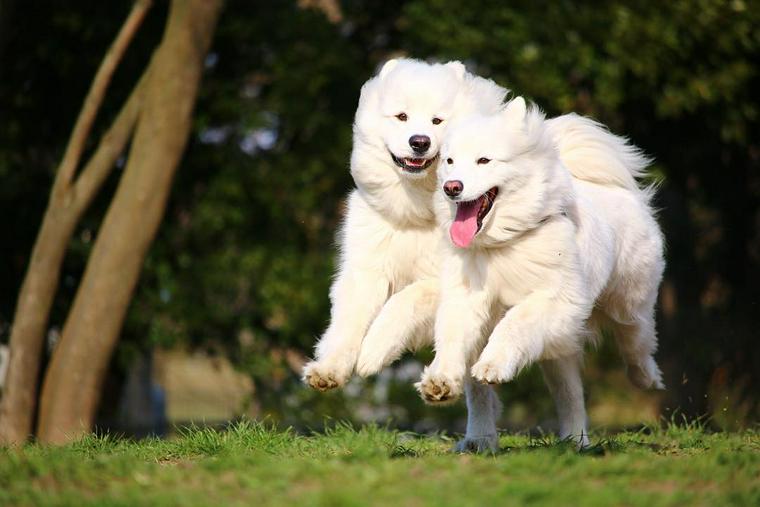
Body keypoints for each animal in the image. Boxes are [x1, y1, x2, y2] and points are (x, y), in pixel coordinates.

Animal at [300, 57, 508, 390]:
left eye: (437, 121)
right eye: (402, 117)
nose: (420, 142)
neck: (416, 212)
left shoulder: (445, 281)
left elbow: (404, 300)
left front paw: (372, 353)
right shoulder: (367, 270)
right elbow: (347, 324)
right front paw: (328, 369)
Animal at [416, 98, 664, 452]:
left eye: (483, 160)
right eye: (449, 161)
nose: (452, 188)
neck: (502, 242)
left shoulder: (555, 298)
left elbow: (513, 324)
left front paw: (493, 364)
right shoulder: (465, 299)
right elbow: (452, 342)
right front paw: (439, 381)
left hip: (628, 305)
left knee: (638, 340)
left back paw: (647, 377)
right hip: (559, 351)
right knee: (569, 396)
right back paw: (563, 440)